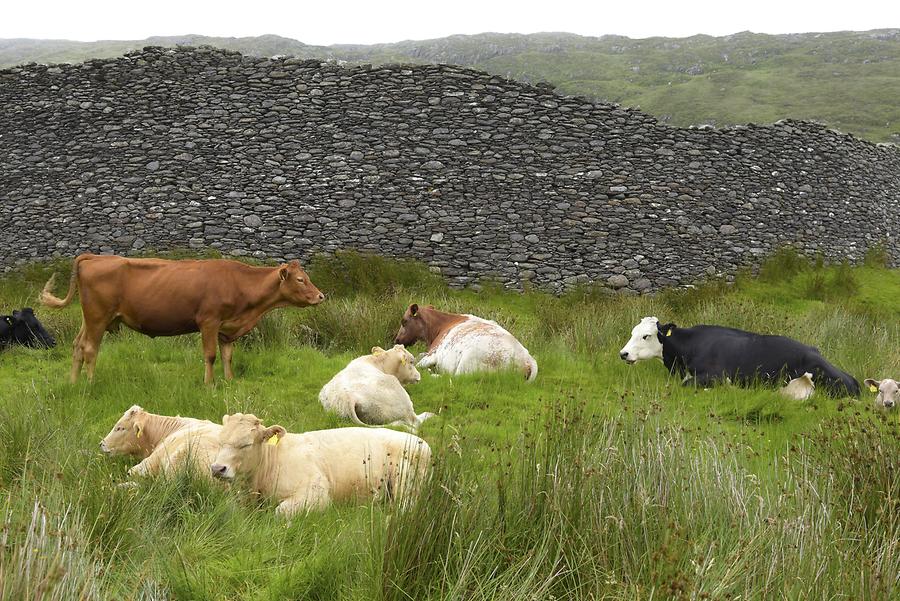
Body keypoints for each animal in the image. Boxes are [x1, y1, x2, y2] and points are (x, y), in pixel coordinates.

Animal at [41, 255, 326, 382]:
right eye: (300, 279)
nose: (320, 296)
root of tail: (94, 256)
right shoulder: (209, 322)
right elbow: (210, 355)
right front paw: (209, 384)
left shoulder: (227, 328)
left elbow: (227, 355)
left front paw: (230, 381)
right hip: (98, 317)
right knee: (90, 349)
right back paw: (90, 384)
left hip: (89, 318)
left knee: (78, 346)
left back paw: (74, 383)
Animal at [213, 412, 434, 516]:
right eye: (220, 440)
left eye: (246, 444)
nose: (217, 468)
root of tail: (421, 442)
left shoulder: (317, 493)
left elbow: (279, 511)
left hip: (406, 483)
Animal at [392, 304, 536, 380]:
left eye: (404, 321)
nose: (397, 340)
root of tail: (527, 361)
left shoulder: (433, 353)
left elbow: (418, 363)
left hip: (467, 364)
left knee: (451, 377)